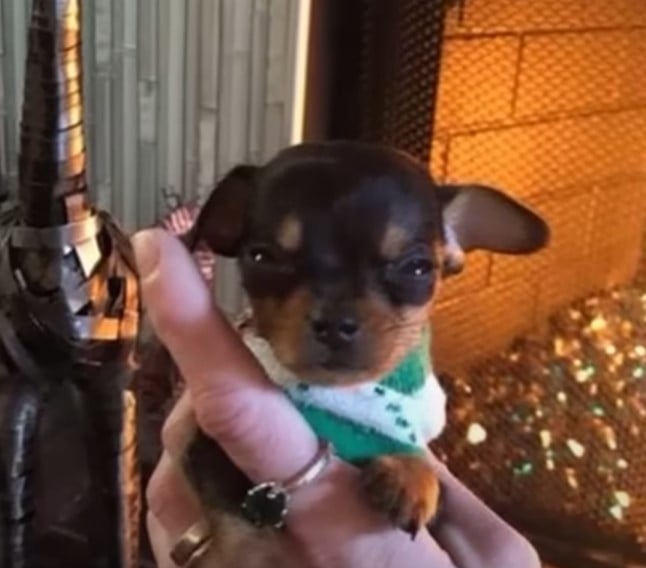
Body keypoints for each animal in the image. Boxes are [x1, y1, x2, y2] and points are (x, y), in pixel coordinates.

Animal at [166, 140, 548, 564]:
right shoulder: (204, 450)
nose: (335, 323)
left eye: (418, 268)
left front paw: (409, 472)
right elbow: (243, 530)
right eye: (262, 257)